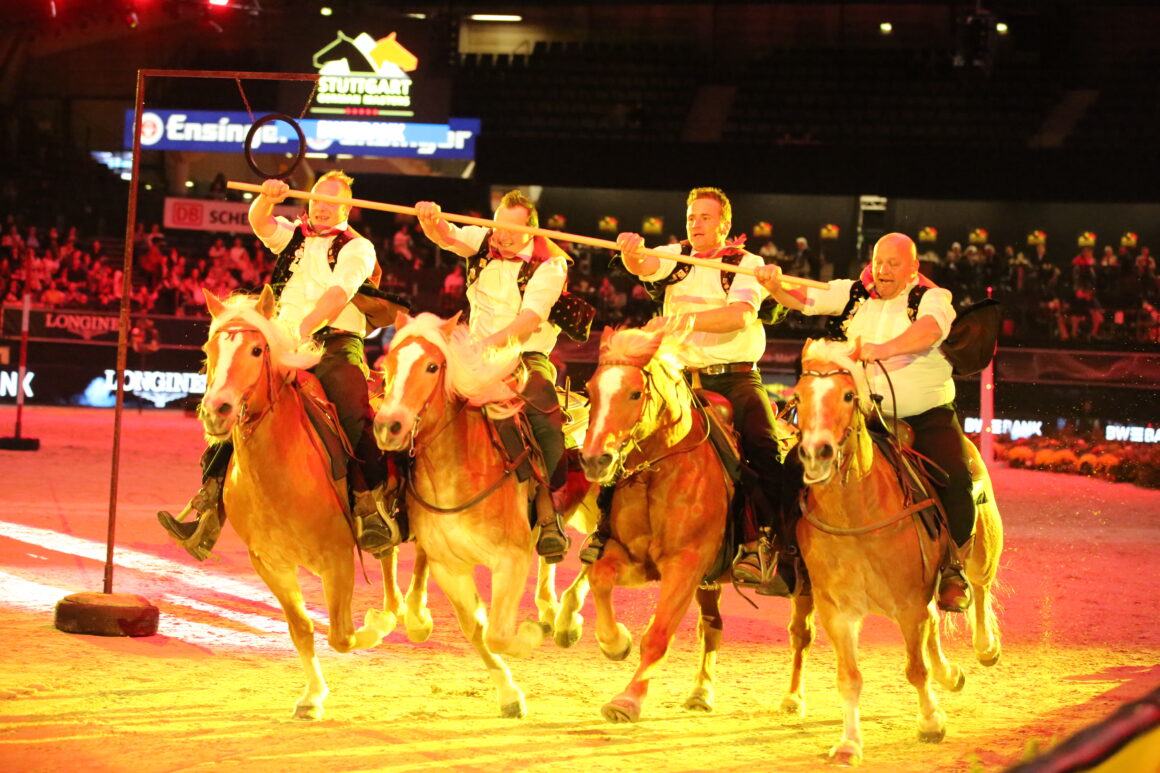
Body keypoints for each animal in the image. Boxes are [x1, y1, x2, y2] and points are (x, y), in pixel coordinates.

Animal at [201, 285, 410, 719]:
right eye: (210, 348)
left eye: (257, 350)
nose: (217, 411)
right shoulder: (269, 563)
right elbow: (301, 628)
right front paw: (312, 697)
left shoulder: (337, 557)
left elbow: (342, 636)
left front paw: (375, 629)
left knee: (393, 555)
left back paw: (403, 615)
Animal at [580, 322, 733, 719]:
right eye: (590, 389)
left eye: (635, 393)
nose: (594, 460)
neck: (658, 473)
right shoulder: (633, 558)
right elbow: (599, 577)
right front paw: (615, 642)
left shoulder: (685, 564)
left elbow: (659, 635)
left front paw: (628, 700)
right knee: (713, 626)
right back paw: (701, 692)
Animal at [788, 338, 1006, 766]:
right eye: (799, 397)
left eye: (848, 395)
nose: (816, 453)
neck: (857, 514)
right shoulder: (838, 612)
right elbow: (849, 678)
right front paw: (849, 744)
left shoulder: (907, 604)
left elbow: (915, 670)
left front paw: (931, 723)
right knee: (936, 620)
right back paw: (950, 674)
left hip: (982, 551)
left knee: (979, 589)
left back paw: (986, 647)